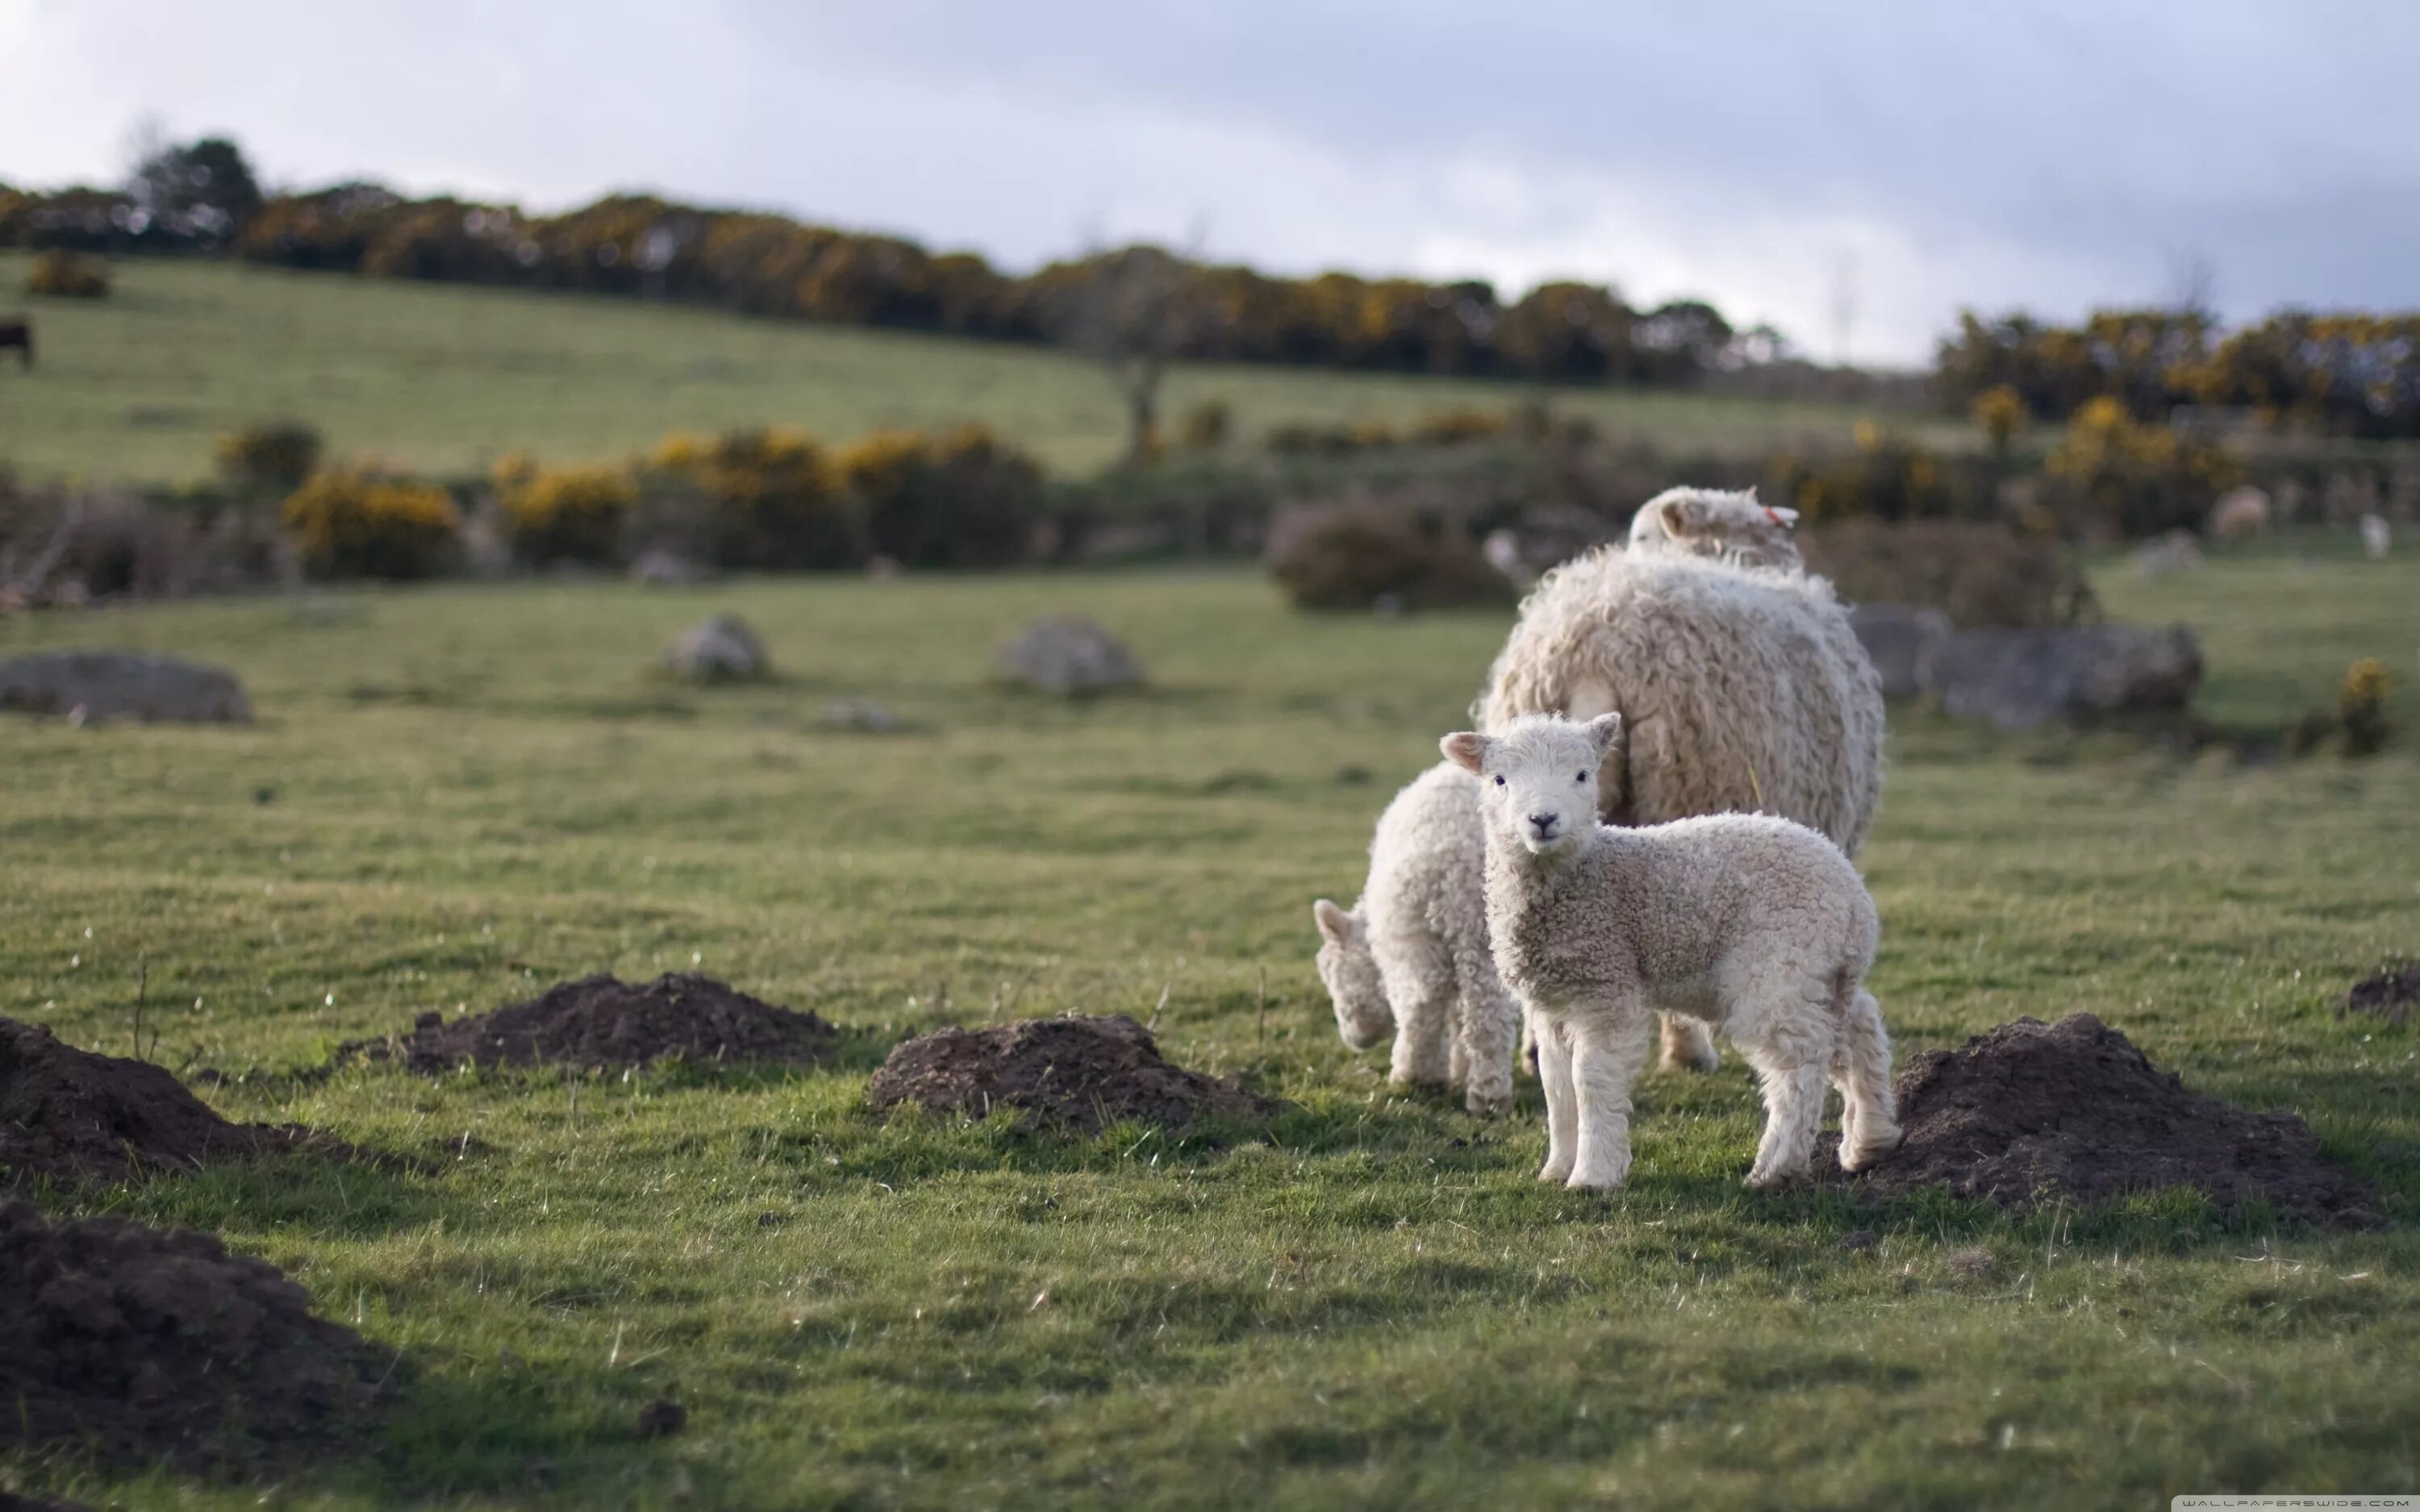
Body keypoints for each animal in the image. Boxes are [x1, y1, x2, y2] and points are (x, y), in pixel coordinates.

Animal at [1307, 764, 1510, 1108]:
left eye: (1333, 980)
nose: (1354, 1041)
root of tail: (1458, 861)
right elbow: (1460, 1015)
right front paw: (1461, 1071)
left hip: (1412, 929)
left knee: (1420, 1003)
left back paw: (1413, 1075)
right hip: (1486, 938)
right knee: (1486, 1012)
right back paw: (1488, 1094)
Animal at [1442, 711, 1897, 1190]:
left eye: (1583, 775)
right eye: (1499, 780)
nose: (1543, 819)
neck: (1583, 876)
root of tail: (1854, 896)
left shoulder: (1607, 987)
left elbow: (1591, 1079)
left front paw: (1592, 1175)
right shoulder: (1552, 1003)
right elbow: (1557, 1084)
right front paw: (1556, 1169)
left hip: (1780, 962)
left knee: (1799, 1067)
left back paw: (1775, 1167)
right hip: (1820, 970)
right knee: (1859, 1027)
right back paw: (1869, 1141)